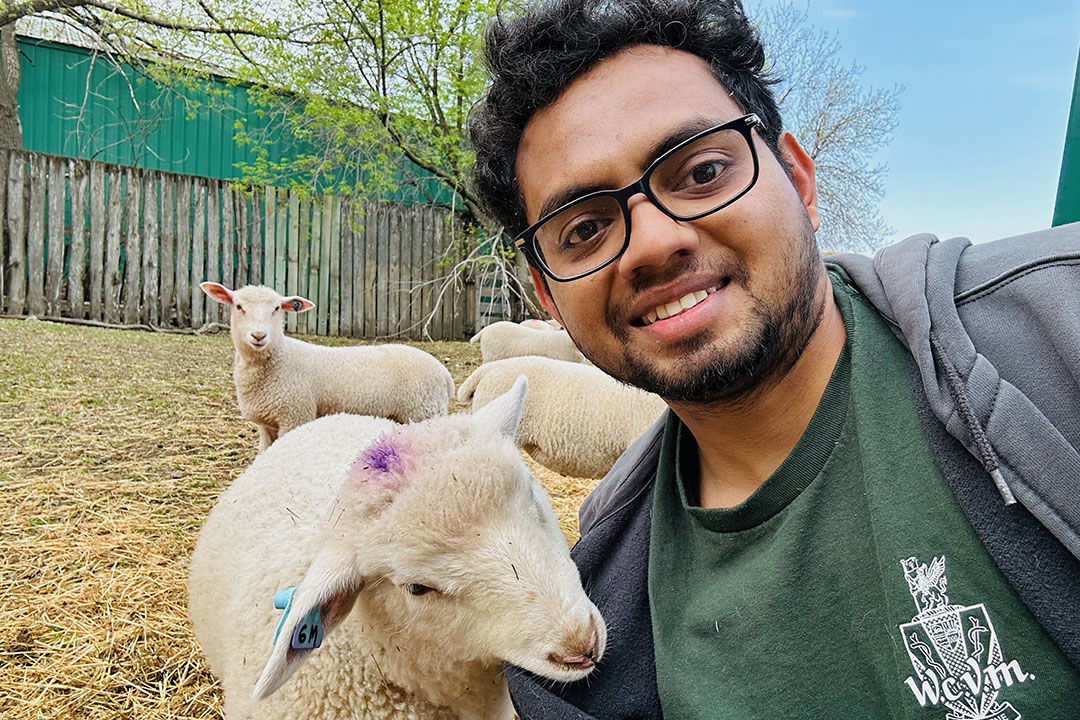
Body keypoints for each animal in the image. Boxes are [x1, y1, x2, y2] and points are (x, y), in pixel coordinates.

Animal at [200, 282, 453, 446]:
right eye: (239, 306)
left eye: (276, 308)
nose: (259, 335)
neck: (279, 358)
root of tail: (444, 373)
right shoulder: (267, 425)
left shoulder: (296, 415)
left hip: (424, 411)